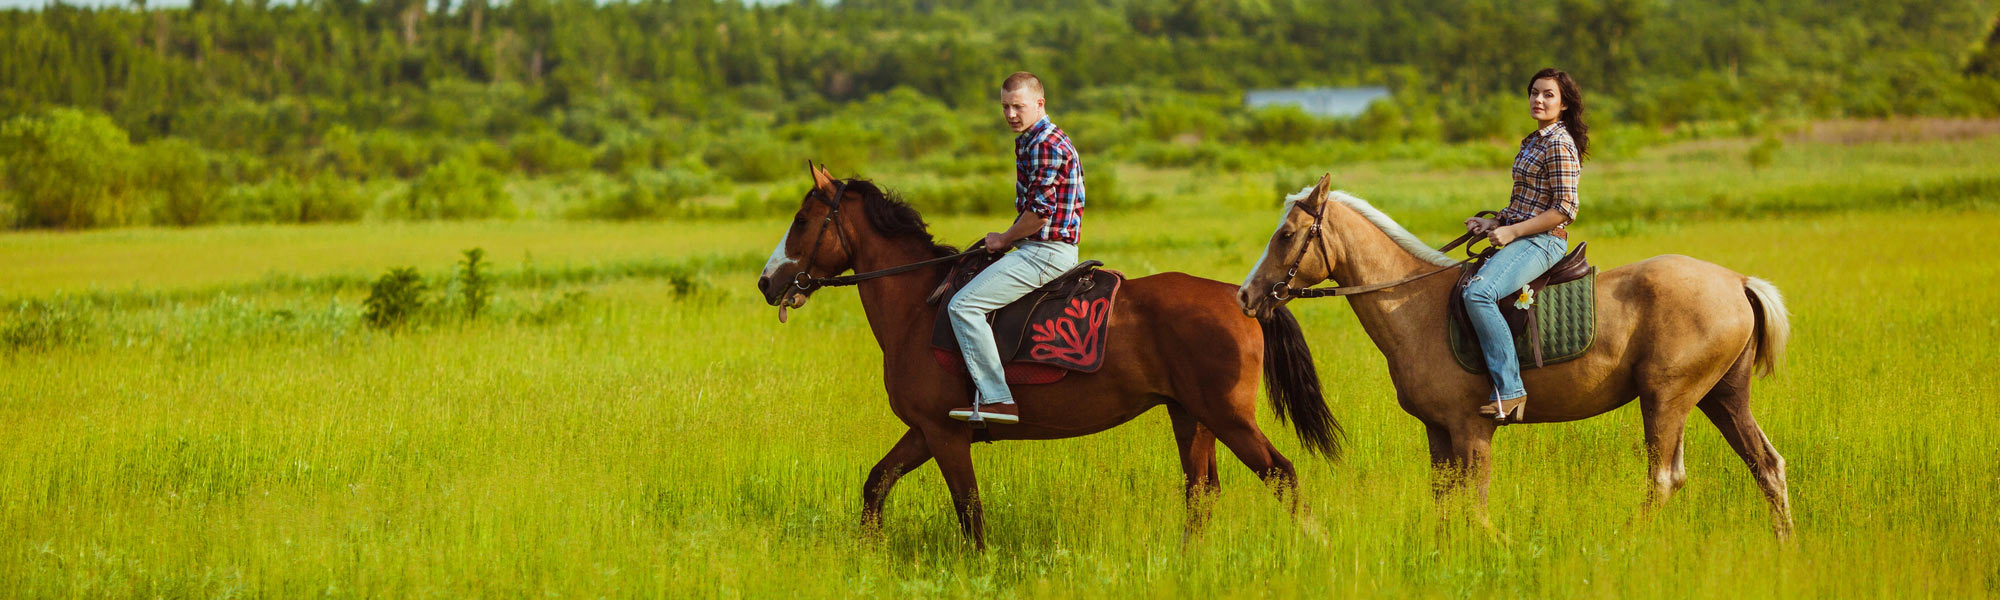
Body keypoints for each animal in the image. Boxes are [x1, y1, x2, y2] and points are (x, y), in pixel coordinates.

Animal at [752, 164, 1344, 548]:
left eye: (801, 221)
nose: (766, 282)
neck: (919, 306)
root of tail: (1240, 297)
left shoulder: (945, 434)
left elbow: (970, 514)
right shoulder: (924, 430)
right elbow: (877, 484)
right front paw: (867, 553)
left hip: (1227, 417)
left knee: (1281, 475)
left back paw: (1316, 546)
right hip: (1192, 417)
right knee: (1201, 494)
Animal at [1232, 176, 1800, 536]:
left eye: (1286, 235)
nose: (1246, 296)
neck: (1415, 305)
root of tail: (1737, 281)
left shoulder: (1474, 429)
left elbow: (1476, 506)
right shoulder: (1438, 432)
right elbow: (1446, 505)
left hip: (1667, 399)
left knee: (1664, 479)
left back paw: (1620, 545)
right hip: (1723, 397)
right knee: (1767, 466)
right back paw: (1784, 548)